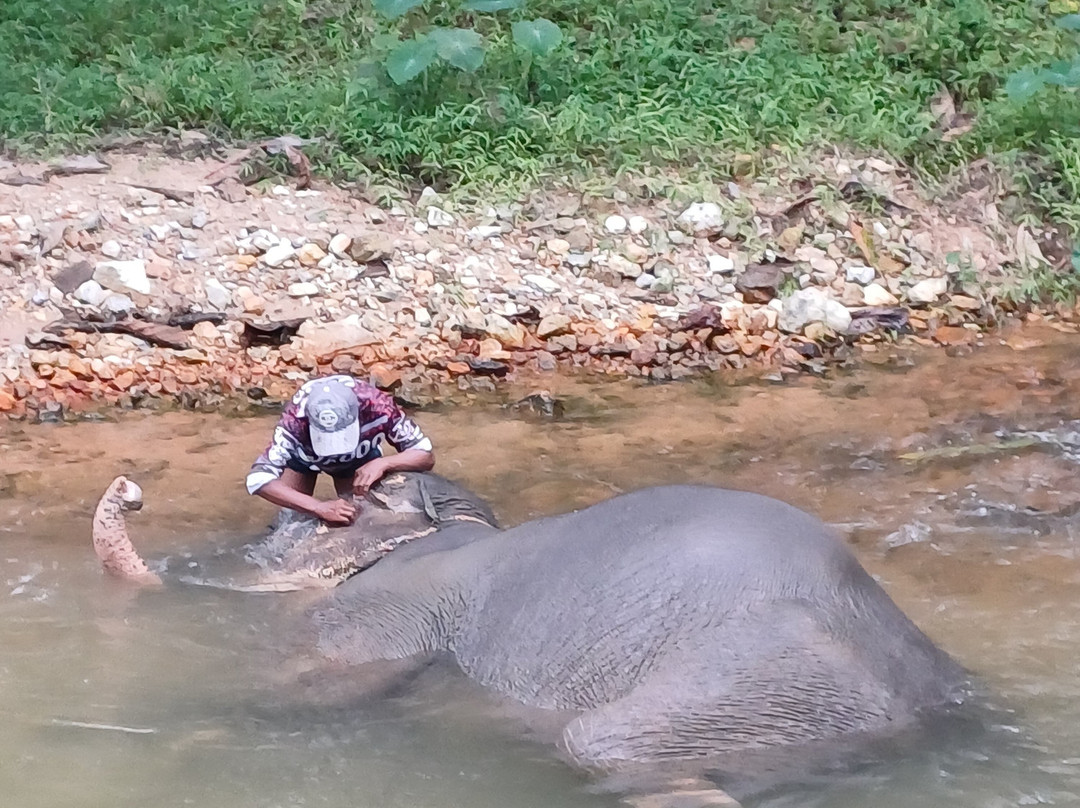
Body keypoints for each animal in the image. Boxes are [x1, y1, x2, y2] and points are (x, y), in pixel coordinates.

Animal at [92, 471, 967, 775]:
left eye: (286, 520)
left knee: (601, 746)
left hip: (759, 678)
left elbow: (314, 688)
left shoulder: (384, 612)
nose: (132, 492)